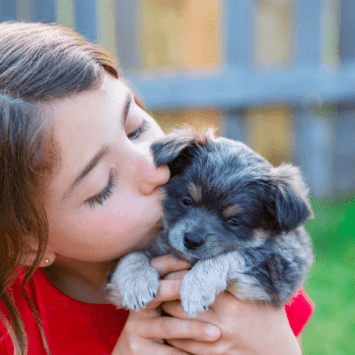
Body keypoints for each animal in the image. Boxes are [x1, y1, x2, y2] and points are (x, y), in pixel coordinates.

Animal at [108, 128, 314, 318]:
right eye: (186, 201)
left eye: (234, 221)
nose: (191, 241)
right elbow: (130, 254)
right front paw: (136, 282)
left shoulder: (283, 265)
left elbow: (232, 255)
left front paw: (196, 287)